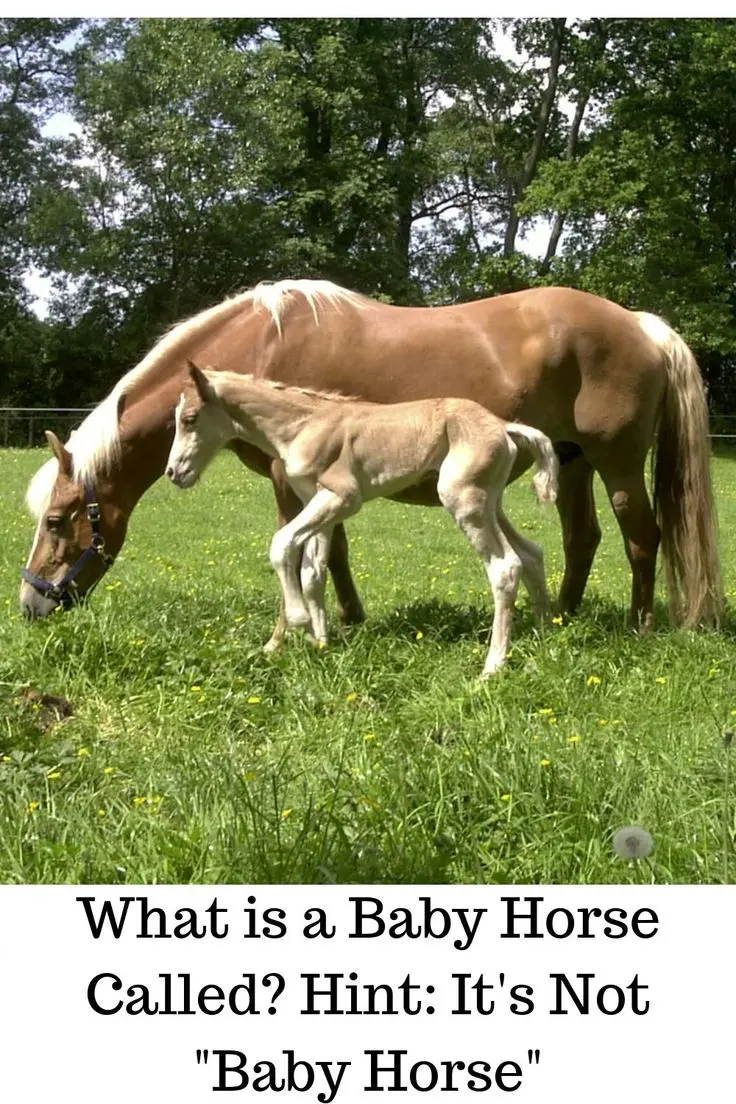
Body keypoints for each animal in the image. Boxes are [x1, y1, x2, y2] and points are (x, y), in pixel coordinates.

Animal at [20, 279, 722, 636]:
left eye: (55, 522)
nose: (30, 605)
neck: (260, 344)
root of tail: (639, 323)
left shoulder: (287, 481)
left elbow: (298, 551)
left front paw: (291, 633)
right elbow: (333, 553)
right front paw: (345, 619)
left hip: (619, 465)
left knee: (642, 536)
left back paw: (640, 625)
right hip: (572, 463)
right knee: (581, 539)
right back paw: (565, 619)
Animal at [166, 365, 559, 675]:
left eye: (190, 419)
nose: (173, 473)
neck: (302, 426)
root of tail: (504, 426)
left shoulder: (343, 498)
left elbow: (282, 544)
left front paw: (299, 620)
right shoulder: (319, 504)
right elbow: (312, 572)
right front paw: (320, 644)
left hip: (463, 500)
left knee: (505, 566)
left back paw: (492, 667)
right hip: (490, 503)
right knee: (531, 553)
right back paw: (544, 634)